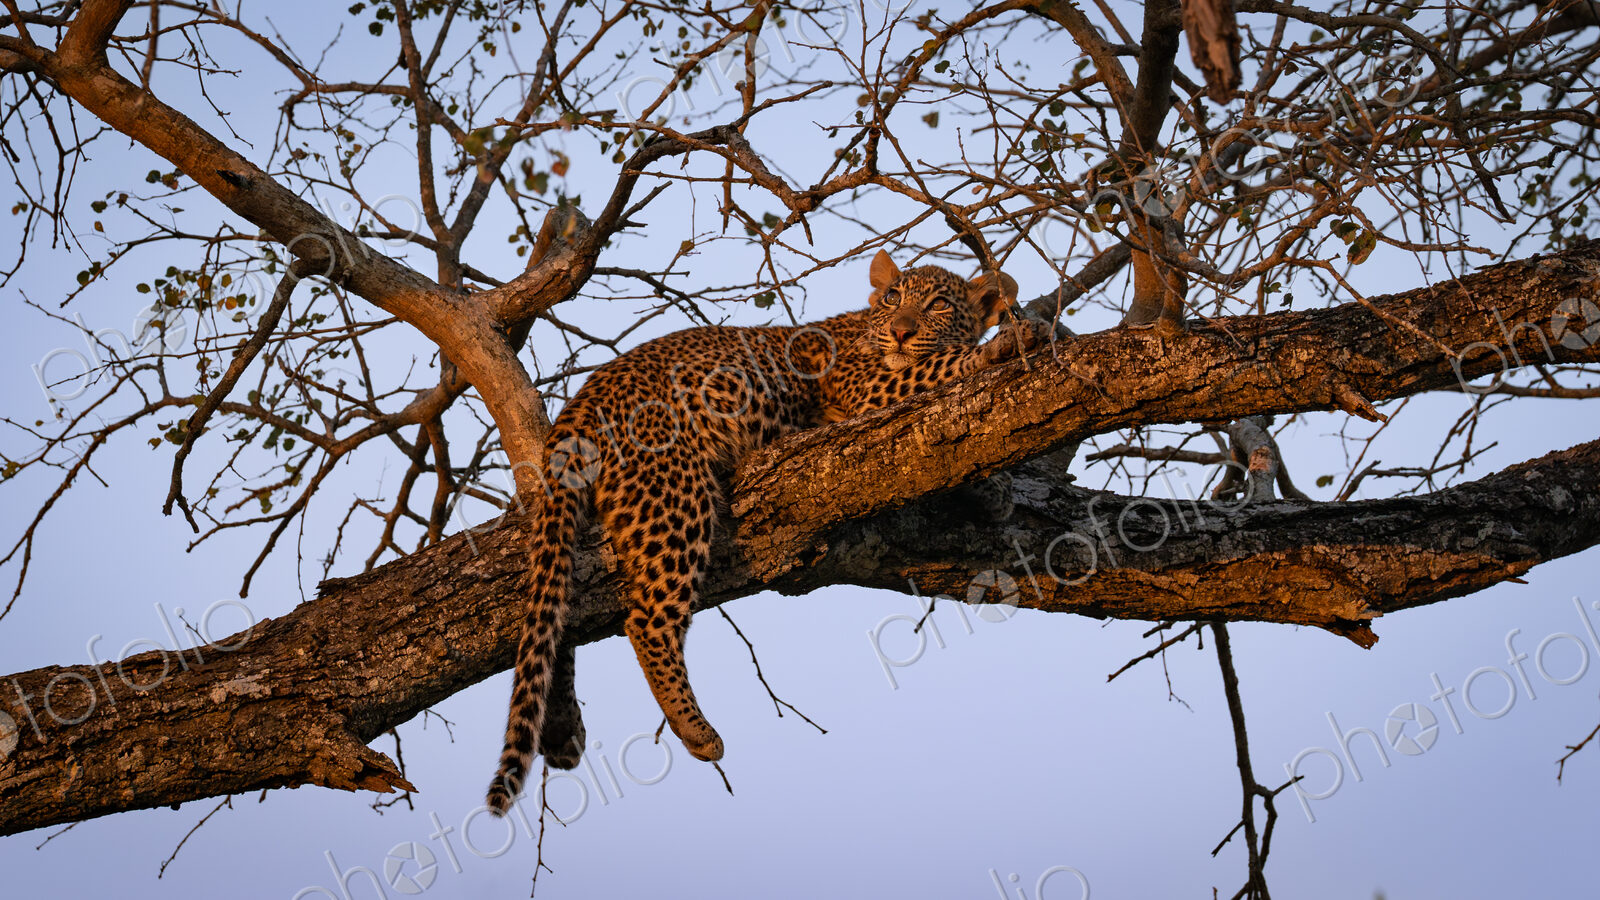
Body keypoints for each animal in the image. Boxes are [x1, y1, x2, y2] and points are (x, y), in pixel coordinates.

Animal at [486, 248, 1048, 815]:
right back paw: (696, 730)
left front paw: (994, 490)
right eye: (893, 299)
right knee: (647, 619)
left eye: (937, 306)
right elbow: (940, 370)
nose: (901, 331)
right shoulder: (870, 388)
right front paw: (1007, 344)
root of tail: (578, 407)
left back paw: (563, 731)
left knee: (563, 614)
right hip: (674, 490)